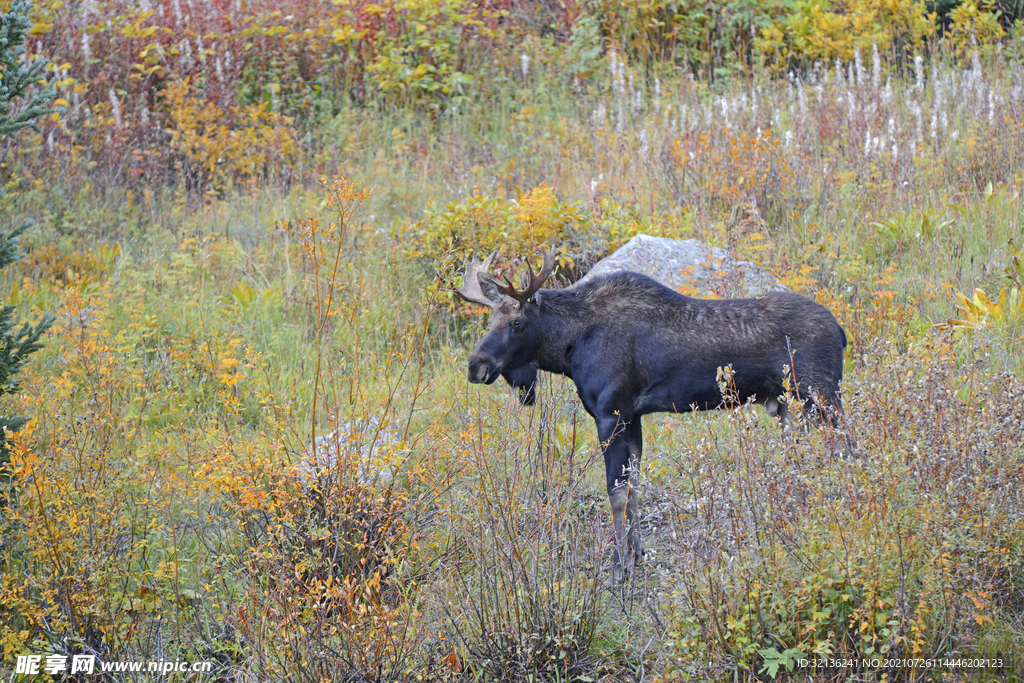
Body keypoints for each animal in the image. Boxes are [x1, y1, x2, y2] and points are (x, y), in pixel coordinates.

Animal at [456, 246, 847, 581]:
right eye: (491, 319)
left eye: (517, 322)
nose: (476, 366)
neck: (568, 349)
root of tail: (841, 332)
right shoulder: (633, 417)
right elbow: (634, 486)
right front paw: (636, 554)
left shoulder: (611, 414)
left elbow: (616, 492)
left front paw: (618, 568)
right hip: (790, 406)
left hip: (821, 397)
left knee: (845, 452)